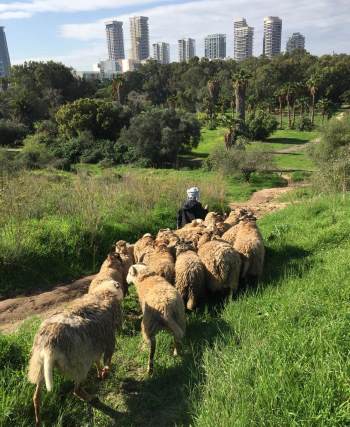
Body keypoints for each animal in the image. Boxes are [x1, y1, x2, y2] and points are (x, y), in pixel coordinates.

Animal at [27, 280, 123, 427]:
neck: (103, 294)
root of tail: (49, 344)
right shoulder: (107, 338)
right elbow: (107, 359)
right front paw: (104, 372)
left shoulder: (95, 343)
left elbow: (97, 360)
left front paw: (100, 372)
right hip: (79, 364)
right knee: (76, 390)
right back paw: (91, 398)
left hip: (39, 366)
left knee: (36, 397)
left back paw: (38, 420)